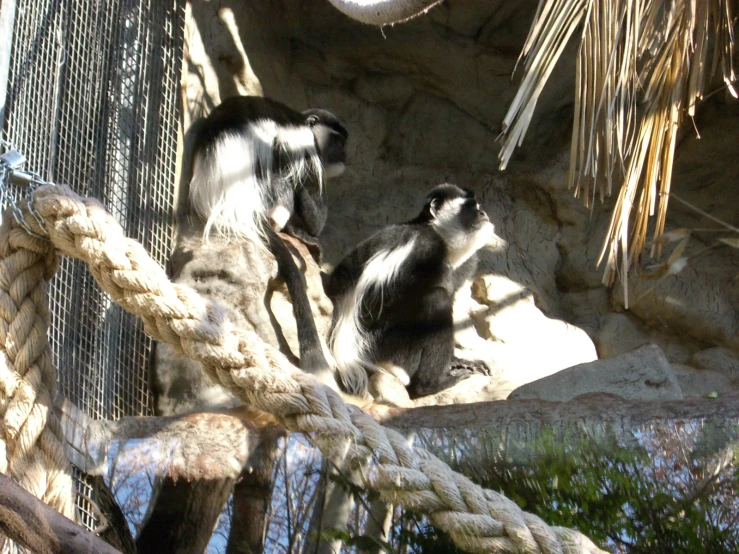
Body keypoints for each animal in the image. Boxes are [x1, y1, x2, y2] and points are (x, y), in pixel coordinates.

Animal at [326, 182, 494, 396]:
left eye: (477, 206)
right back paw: (432, 384)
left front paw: (460, 361)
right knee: (436, 300)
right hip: (389, 350)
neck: (440, 237)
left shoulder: (464, 266)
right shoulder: (424, 249)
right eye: (469, 207)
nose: (483, 213)